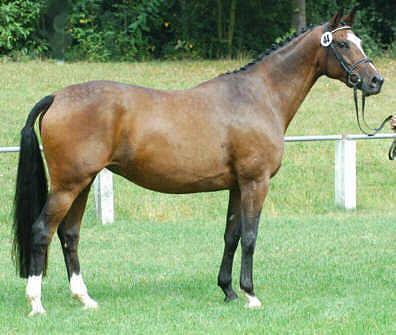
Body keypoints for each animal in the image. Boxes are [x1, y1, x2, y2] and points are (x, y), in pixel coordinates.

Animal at [13, 7, 384, 318]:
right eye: (343, 44)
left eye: (359, 41)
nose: (376, 81)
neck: (258, 96)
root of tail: (58, 96)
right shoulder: (256, 182)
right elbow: (251, 236)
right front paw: (250, 295)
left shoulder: (237, 185)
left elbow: (231, 235)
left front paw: (228, 291)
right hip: (68, 185)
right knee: (43, 231)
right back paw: (36, 304)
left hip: (83, 183)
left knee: (69, 234)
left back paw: (84, 299)